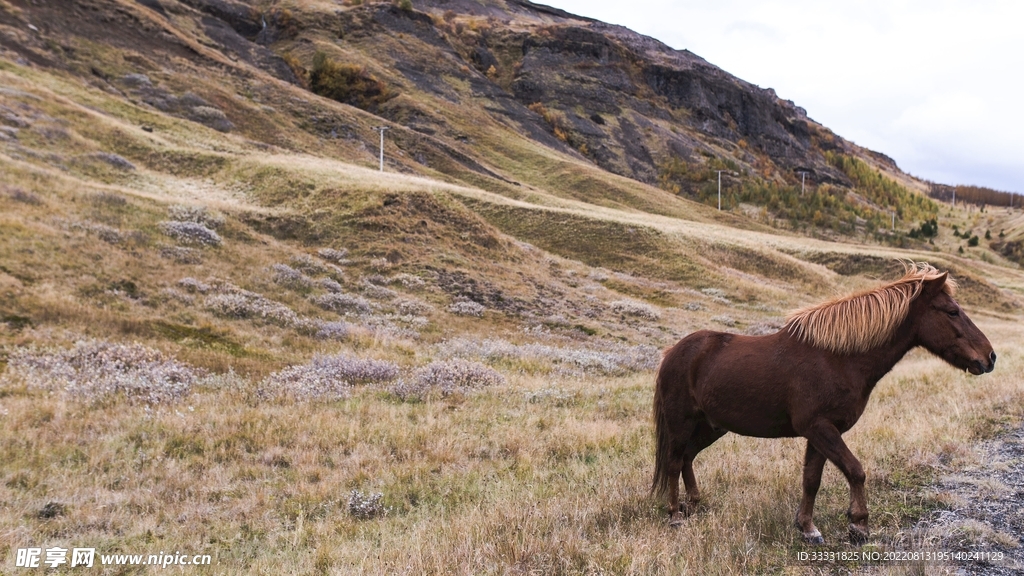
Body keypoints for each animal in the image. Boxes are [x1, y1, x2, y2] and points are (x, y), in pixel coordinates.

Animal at [651, 263, 996, 544]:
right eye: (951, 311)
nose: (989, 357)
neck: (837, 359)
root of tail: (673, 352)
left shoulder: (820, 433)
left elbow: (811, 480)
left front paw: (807, 528)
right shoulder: (820, 428)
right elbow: (855, 470)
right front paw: (858, 525)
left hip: (711, 427)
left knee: (687, 458)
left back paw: (694, 504)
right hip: (682, 423)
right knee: (673, 462)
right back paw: (675, 515)